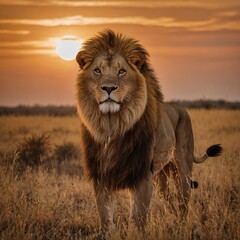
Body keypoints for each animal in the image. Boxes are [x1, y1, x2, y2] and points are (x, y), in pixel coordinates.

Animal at [75, 30, 223, 232]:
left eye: (122, 71)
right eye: (97, 71)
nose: (108, 88)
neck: (112, 125)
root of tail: (180, 107)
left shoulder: (142, 175)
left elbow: (137, 218)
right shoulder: (101, 176)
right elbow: (105, 218)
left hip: (182, 168)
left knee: (183, 201)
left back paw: (182, 226)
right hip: (161, 175)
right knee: (169, 201)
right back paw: (174, 221)